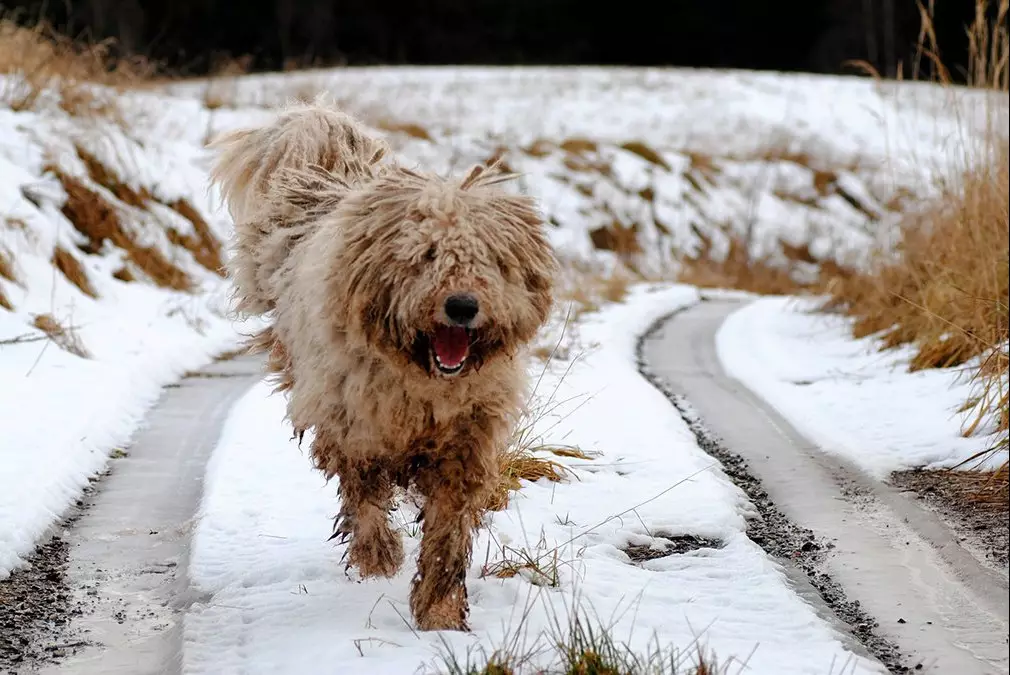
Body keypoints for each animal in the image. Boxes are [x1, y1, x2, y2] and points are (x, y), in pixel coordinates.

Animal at [209, 103, 557, 630]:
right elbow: (364, 494)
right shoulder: (352, 424)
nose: (462, 306)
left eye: (489, 261)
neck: (423, 379)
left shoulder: (466, 439)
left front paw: (439, 611)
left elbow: (447, 530)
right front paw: (379, 557)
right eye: (427, 255)